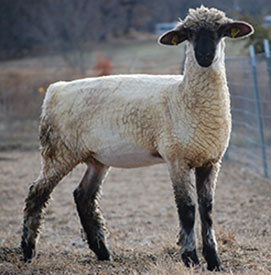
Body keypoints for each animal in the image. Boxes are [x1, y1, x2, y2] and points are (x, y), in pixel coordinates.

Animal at [20, 5, 254, 272]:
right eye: (188, 34)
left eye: (221, 31)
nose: (204, 56)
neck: (183, 97)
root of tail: (55, 89)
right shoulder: (176, 158)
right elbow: (186, 208)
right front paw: (190, 258)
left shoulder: (210, 160)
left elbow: (207, 210)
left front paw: (214, 261)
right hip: (58, 151)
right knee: (36, 194)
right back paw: (27, 251)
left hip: (96, 159)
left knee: (84, 197)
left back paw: (103, 252)